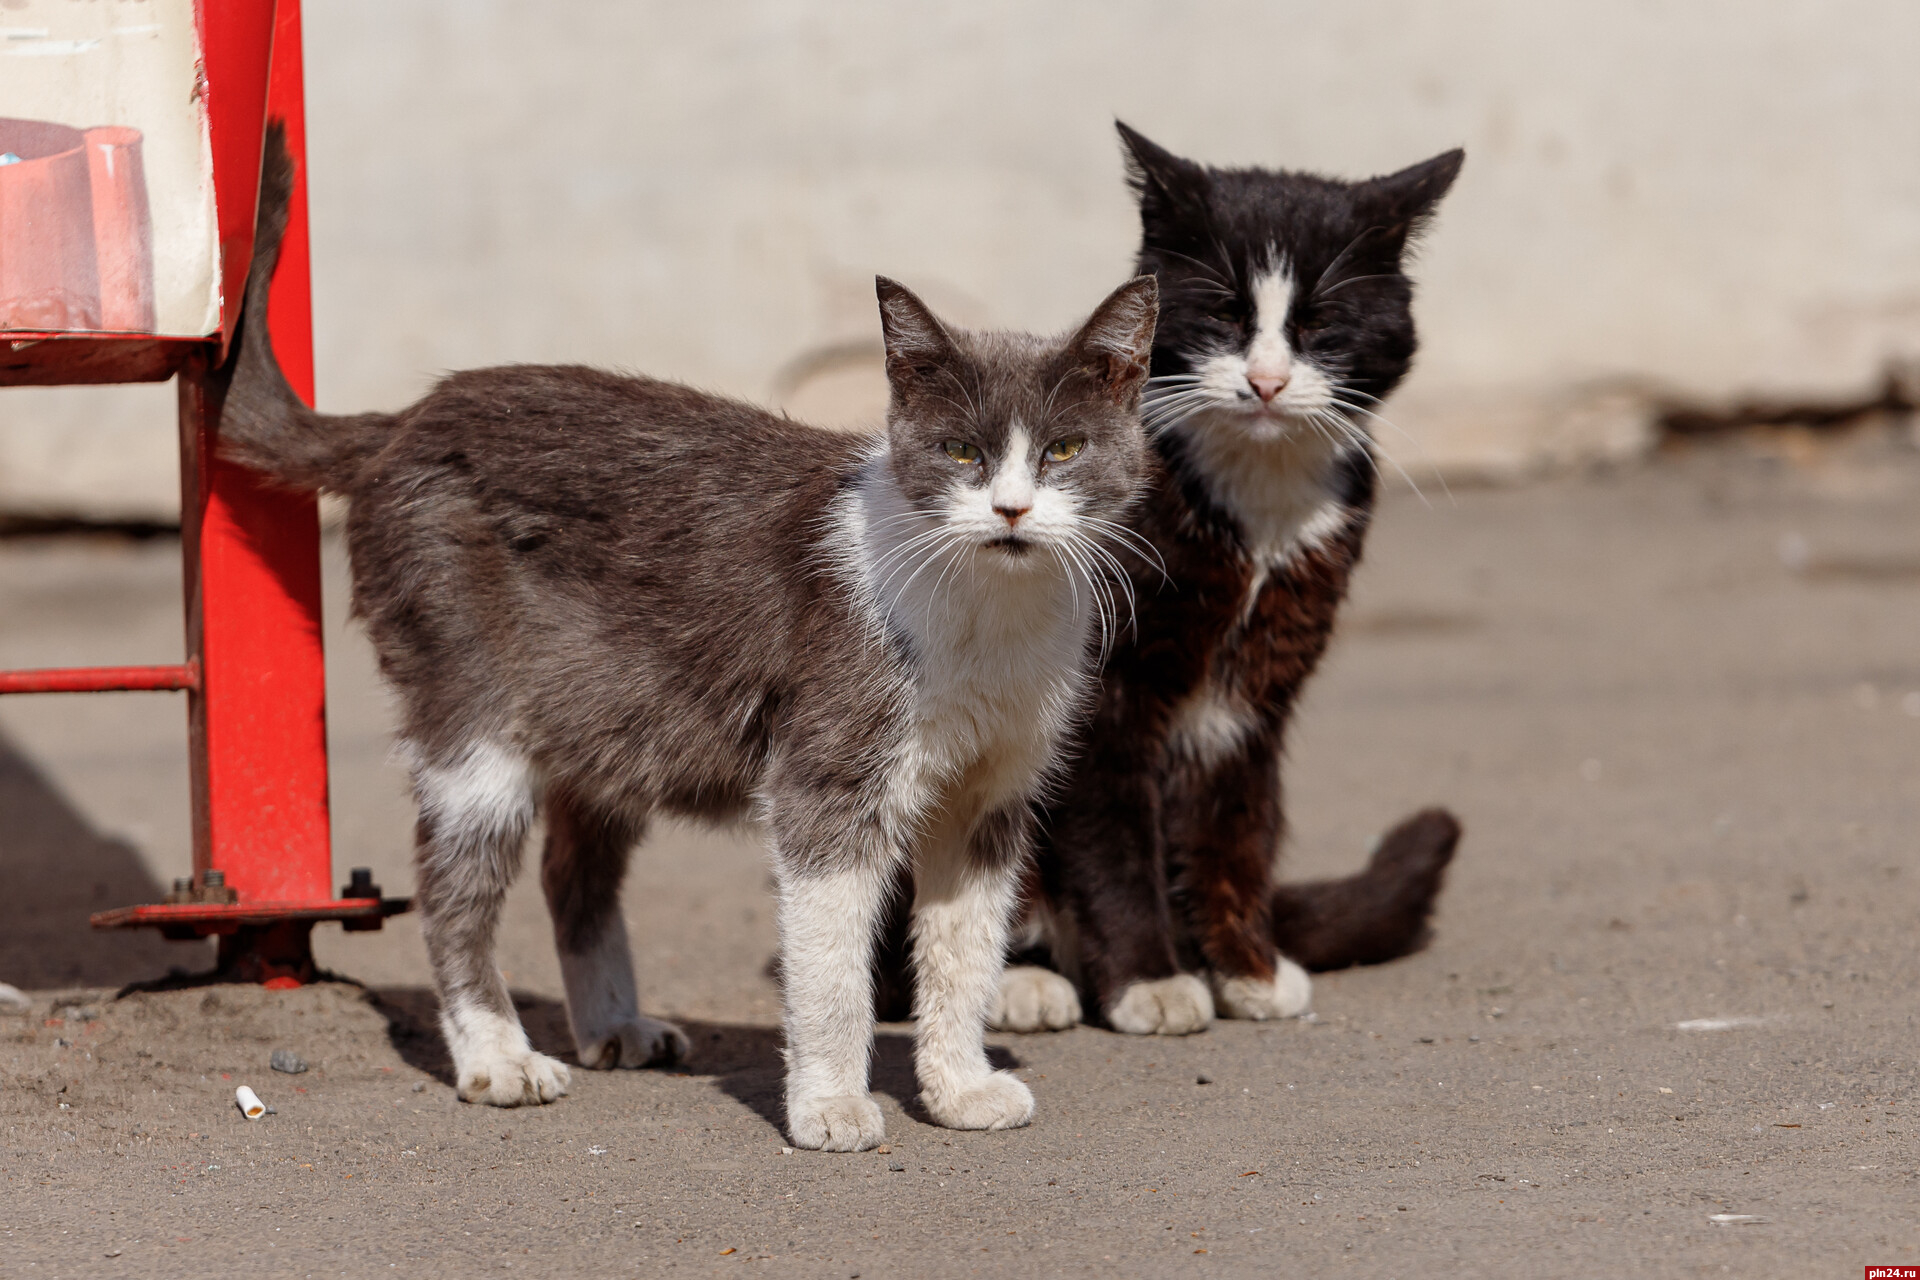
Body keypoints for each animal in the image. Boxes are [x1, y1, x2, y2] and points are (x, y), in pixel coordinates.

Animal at [220, 124, 1152, 1151]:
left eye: (1064, 450)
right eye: (960, 453)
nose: (1012, 508)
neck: (987, 613)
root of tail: (405, 421)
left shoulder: (991, 794)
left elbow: (964, 949)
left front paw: (958, 1090)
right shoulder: (827, 777)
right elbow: (831, 964)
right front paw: (830, 1107)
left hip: (612, 717)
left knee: (572, 870)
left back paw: (615, 1027)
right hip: (472, 713)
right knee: (451, 885)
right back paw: (497, 1057)